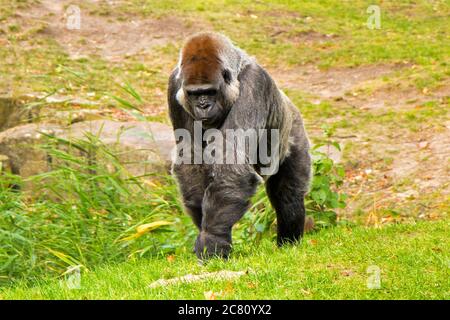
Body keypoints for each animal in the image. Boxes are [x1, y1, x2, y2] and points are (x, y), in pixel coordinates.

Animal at [167, 31, 312, 260]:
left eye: (210, 92)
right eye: (194, 94)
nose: (203, 106)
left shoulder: (254, 83)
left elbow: (232, 163)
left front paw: (212, 239)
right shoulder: (175, 86)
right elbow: (190, 158)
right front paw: (205, 228)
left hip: (294, 131)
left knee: (288, 196)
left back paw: (289, 243)